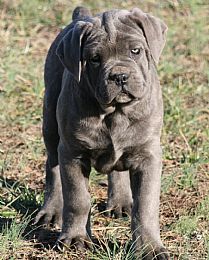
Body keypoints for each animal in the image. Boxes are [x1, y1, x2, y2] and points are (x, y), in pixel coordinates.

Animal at [35, 5, 170, 258]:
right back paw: (51, 210)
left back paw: (121, 202)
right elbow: (77, 199)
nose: (120, 76)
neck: (114, 113)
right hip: (50, 123)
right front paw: (76, 238)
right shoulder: (73, 154)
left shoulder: (148, 155)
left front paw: (149, 248)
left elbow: (145, 206)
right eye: (95, 59)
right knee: (52, 166)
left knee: (117, 170)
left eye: (135, 50)